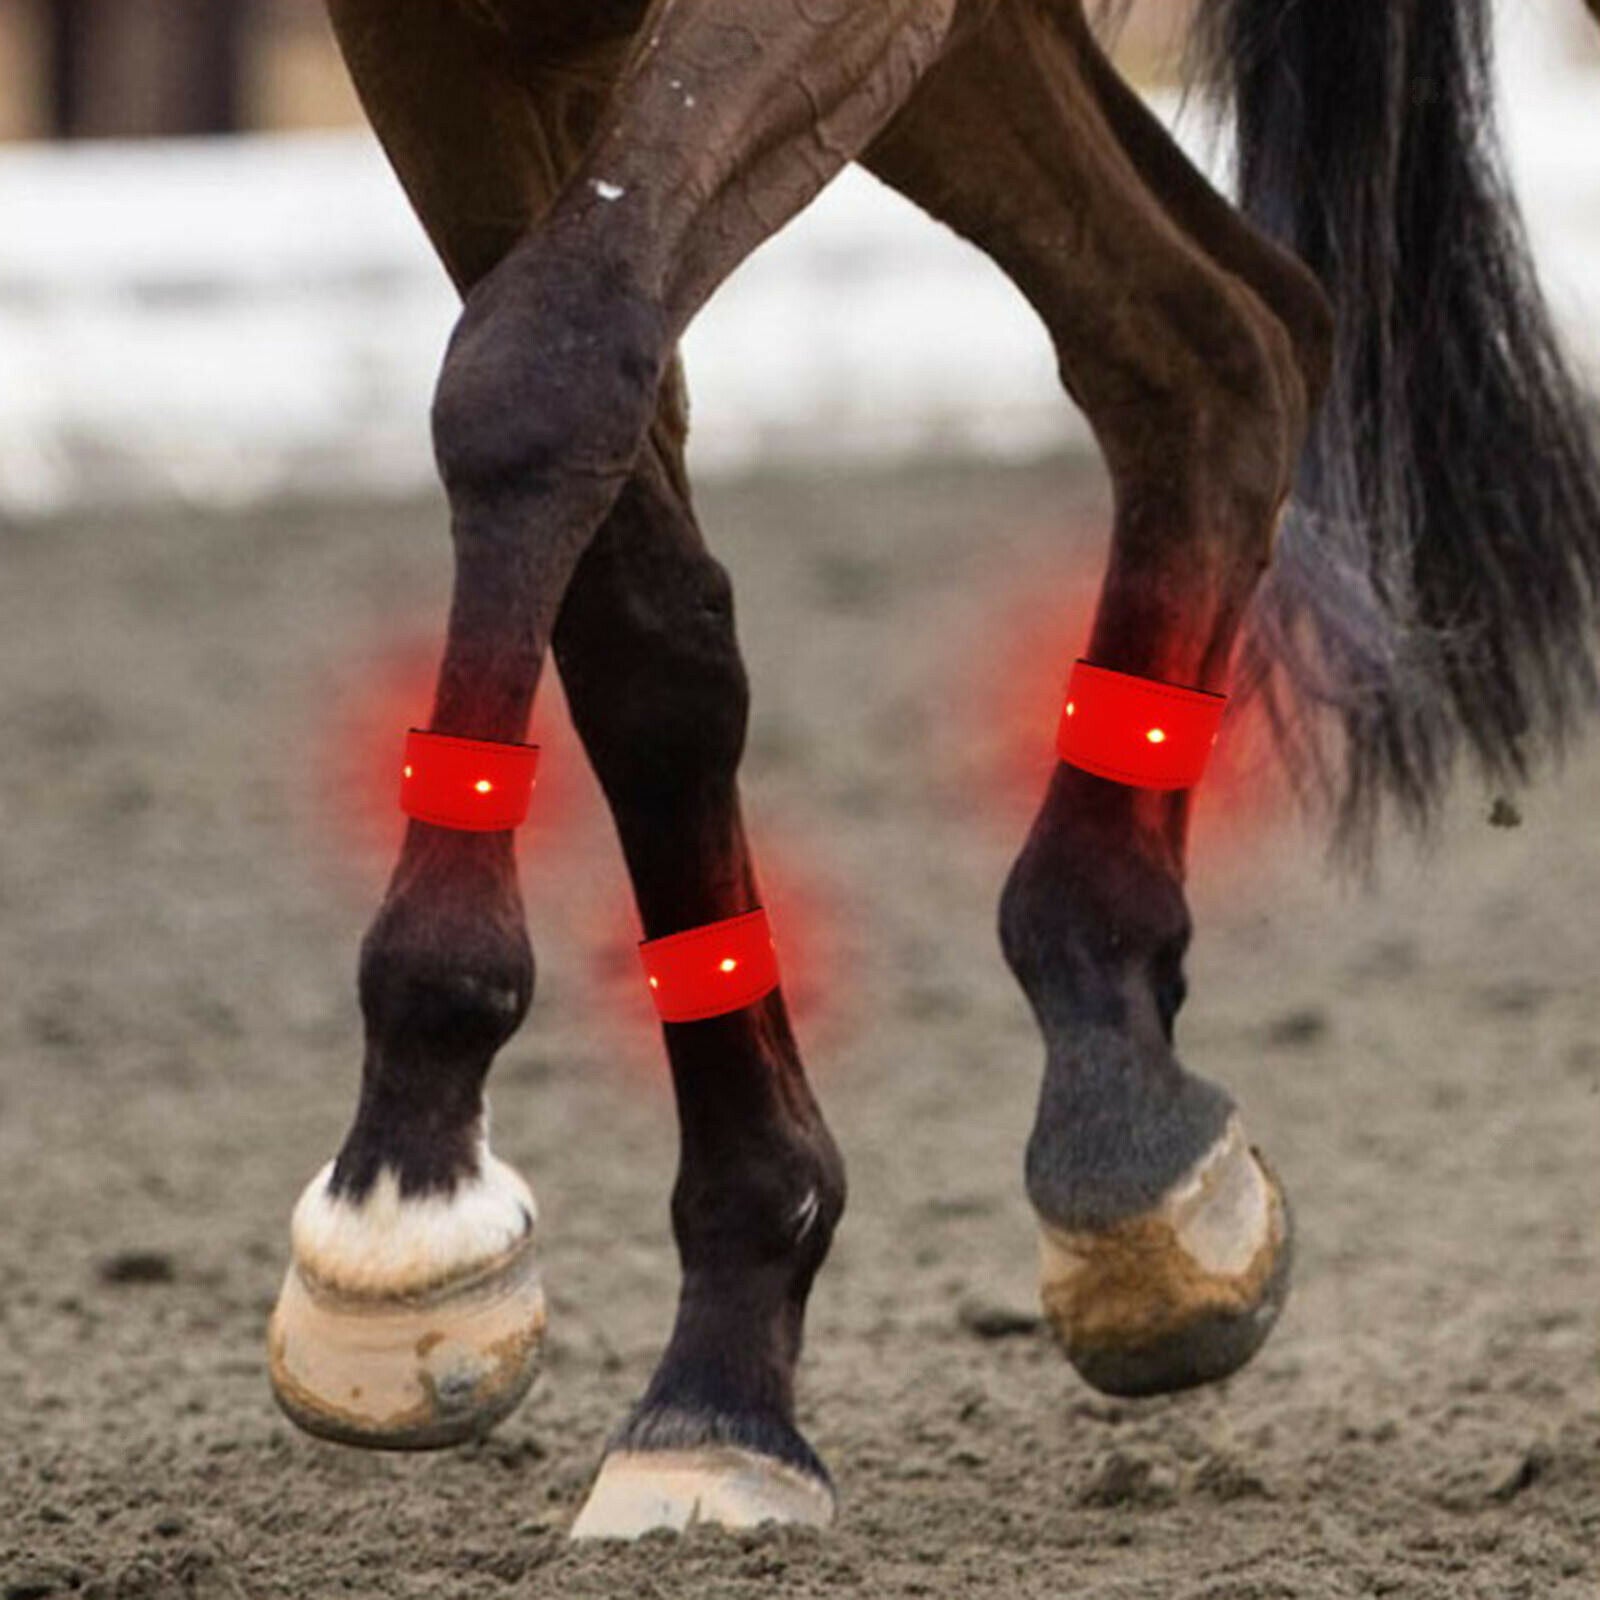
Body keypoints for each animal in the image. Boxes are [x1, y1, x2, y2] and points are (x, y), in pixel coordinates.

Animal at [265, 0, 1600, 1539]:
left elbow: (542, 374)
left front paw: (411, 1179)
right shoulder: (436, 47)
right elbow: (641, 631)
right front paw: (720, 1360)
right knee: (1222, 344)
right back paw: (1123, 1114)